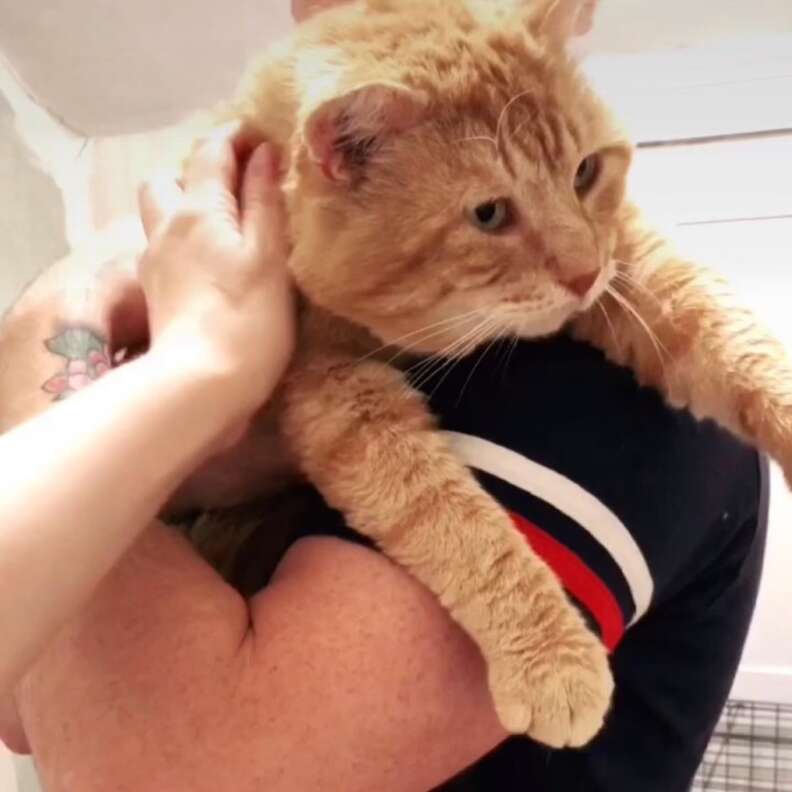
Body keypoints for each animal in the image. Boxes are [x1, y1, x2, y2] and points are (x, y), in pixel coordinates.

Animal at [179, 0, 792, 748]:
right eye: (490, 214)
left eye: (585, 172)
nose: (585, 273)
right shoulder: (336, 397)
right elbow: (451, 517)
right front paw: (553, 658)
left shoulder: (630, 264)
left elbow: (728, 332)